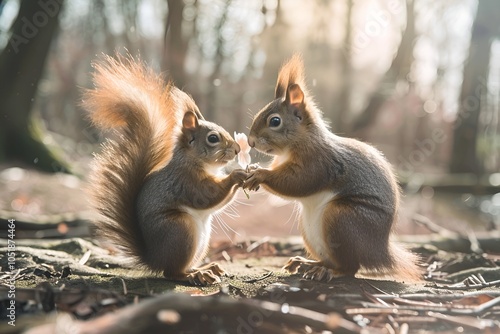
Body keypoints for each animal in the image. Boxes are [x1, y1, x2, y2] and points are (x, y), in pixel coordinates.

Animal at [84, 54, 248, 284]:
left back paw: (206, 268)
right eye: (213, 138)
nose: (237, 149)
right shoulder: (185, 181)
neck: (195, 162)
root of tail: (154, 258)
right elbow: (207, 195)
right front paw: (236, 175)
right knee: (171, 273)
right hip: (179, 230)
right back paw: (195, 275)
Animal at [246, 54, 422, 282]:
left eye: (275, 121)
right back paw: (307, 263)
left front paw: (260, 174)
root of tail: (379, 252)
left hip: (342, 220)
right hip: (310, 230)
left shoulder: (319, 162)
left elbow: (299, 182)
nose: (250, 141)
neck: (298, 142)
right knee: (330, 259)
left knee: (350, 268)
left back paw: (327, 271)